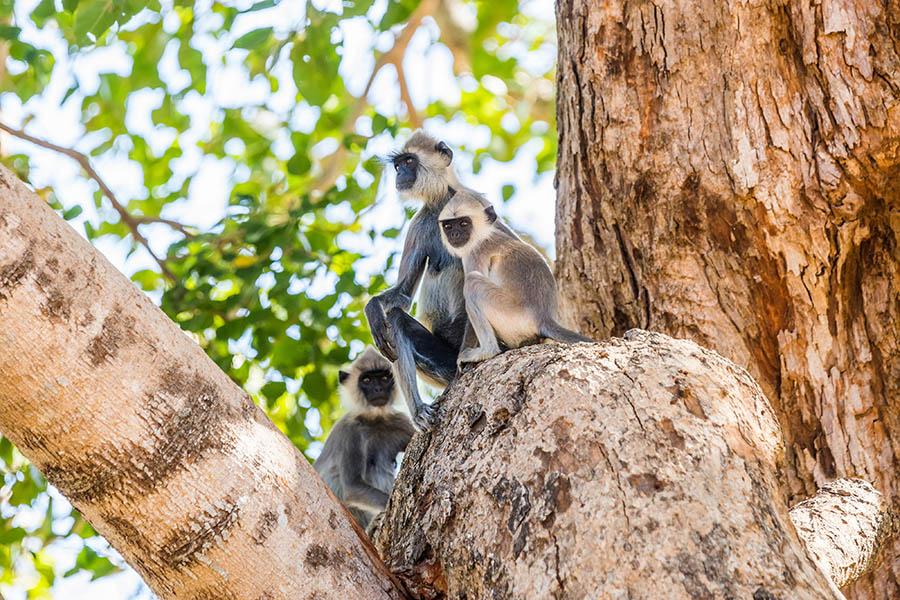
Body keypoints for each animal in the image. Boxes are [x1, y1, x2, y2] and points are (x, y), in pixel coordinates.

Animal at [313, 346, 415, 531]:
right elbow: (352, 487)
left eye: (384, 378)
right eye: (367, 380)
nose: (378, 389)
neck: (375, 420)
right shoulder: (350, 431)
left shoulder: (399, 421)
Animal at [364, 130, 473, 431]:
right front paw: (372, 308)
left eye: (409, 161)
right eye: (398, 165)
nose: (401, 173)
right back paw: (420, 412)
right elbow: (402, 295)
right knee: (395, 320)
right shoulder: (419, 223)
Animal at [437, 189, 591, 365]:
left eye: (463, 223)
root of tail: (543, 317)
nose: (454, 234)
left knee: (473, 283)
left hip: (511, 312)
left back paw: (487, 352)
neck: (483, 234)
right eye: (448, 226)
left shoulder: (475, 252)